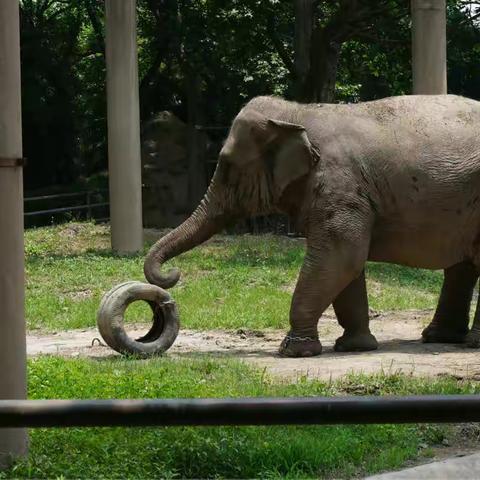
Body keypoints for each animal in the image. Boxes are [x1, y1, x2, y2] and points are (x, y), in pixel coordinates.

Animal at [142, 94, 480, 356]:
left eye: (226, 166)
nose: (172, 275)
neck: (298, 112)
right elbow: (347, 265)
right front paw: (355, 347)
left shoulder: (339, 185)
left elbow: (341, 256)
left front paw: (293, 352)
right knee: (462, 267)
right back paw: (440, 338)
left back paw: (468, 343)